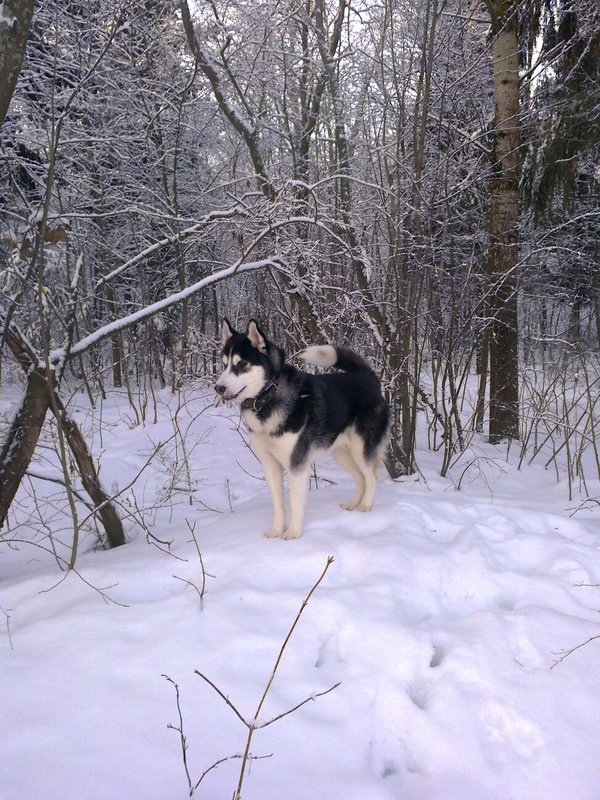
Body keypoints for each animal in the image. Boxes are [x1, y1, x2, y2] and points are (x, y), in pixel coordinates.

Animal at [216, 318, 390, 536]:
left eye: (241, 364)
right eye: (224, 365)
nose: (218, 387)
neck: (268, 396)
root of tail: (367, 376)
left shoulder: (296, 465)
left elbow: (295, 503)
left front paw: (292, 534)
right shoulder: (270, 464)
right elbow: (278, 504)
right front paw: (276, 531)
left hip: (361, 449)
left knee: (371, 477)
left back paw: (365, 506)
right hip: (341, 452)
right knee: (361, 479)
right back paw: (353, 504)